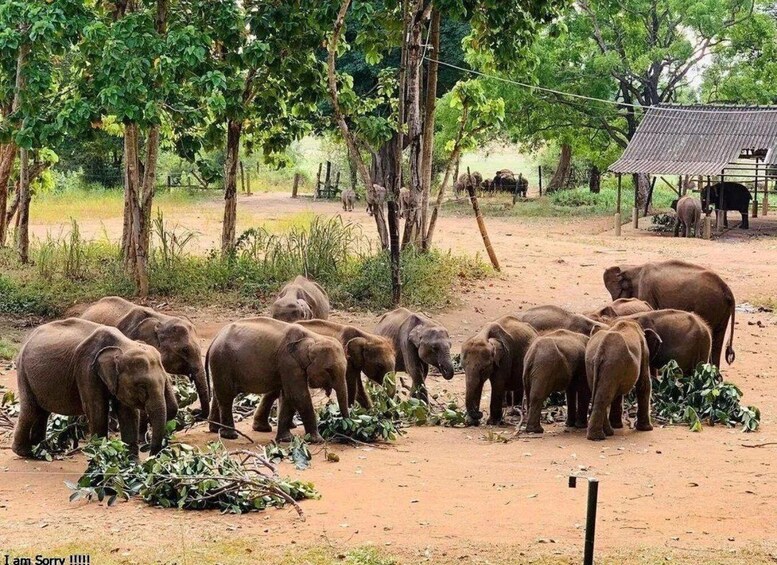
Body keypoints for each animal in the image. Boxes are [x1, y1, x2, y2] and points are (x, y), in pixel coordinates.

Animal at [12, 318, 177, 458]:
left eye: (165, 381)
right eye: (141, 386)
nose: (150, 454)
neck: (122, 345)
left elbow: (128, 412)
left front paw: (130, 464)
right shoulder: (86, 369)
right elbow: (97, 409)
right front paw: (101, 456)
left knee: (42, 411)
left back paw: (42, 451)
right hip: (23, 372)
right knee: (30, 409)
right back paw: (25, 453)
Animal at [205, 318, 348, 440]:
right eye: (328, 370)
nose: (346, 431)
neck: (313, 337)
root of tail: (214, 339)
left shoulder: (287, 366)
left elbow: (287, 397)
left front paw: (286, 439)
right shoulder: (288, 362)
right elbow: (297, 395)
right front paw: (317, 440)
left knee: (219, 394)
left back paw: (215, 429)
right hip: (222, 361)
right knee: (226, 396)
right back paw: (230, 435)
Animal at [256, 322, 394, 424]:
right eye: (380, 365)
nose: (389, 413)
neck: (366, 336)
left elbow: (359, 390)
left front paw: (372, 415)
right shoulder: (347, 360)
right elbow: (352, 389)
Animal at [604, 258, 736, 366]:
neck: (634, 267)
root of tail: (728, 290)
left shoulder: (646, 287)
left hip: (708, 305)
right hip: (720, 308)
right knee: (717, 339)